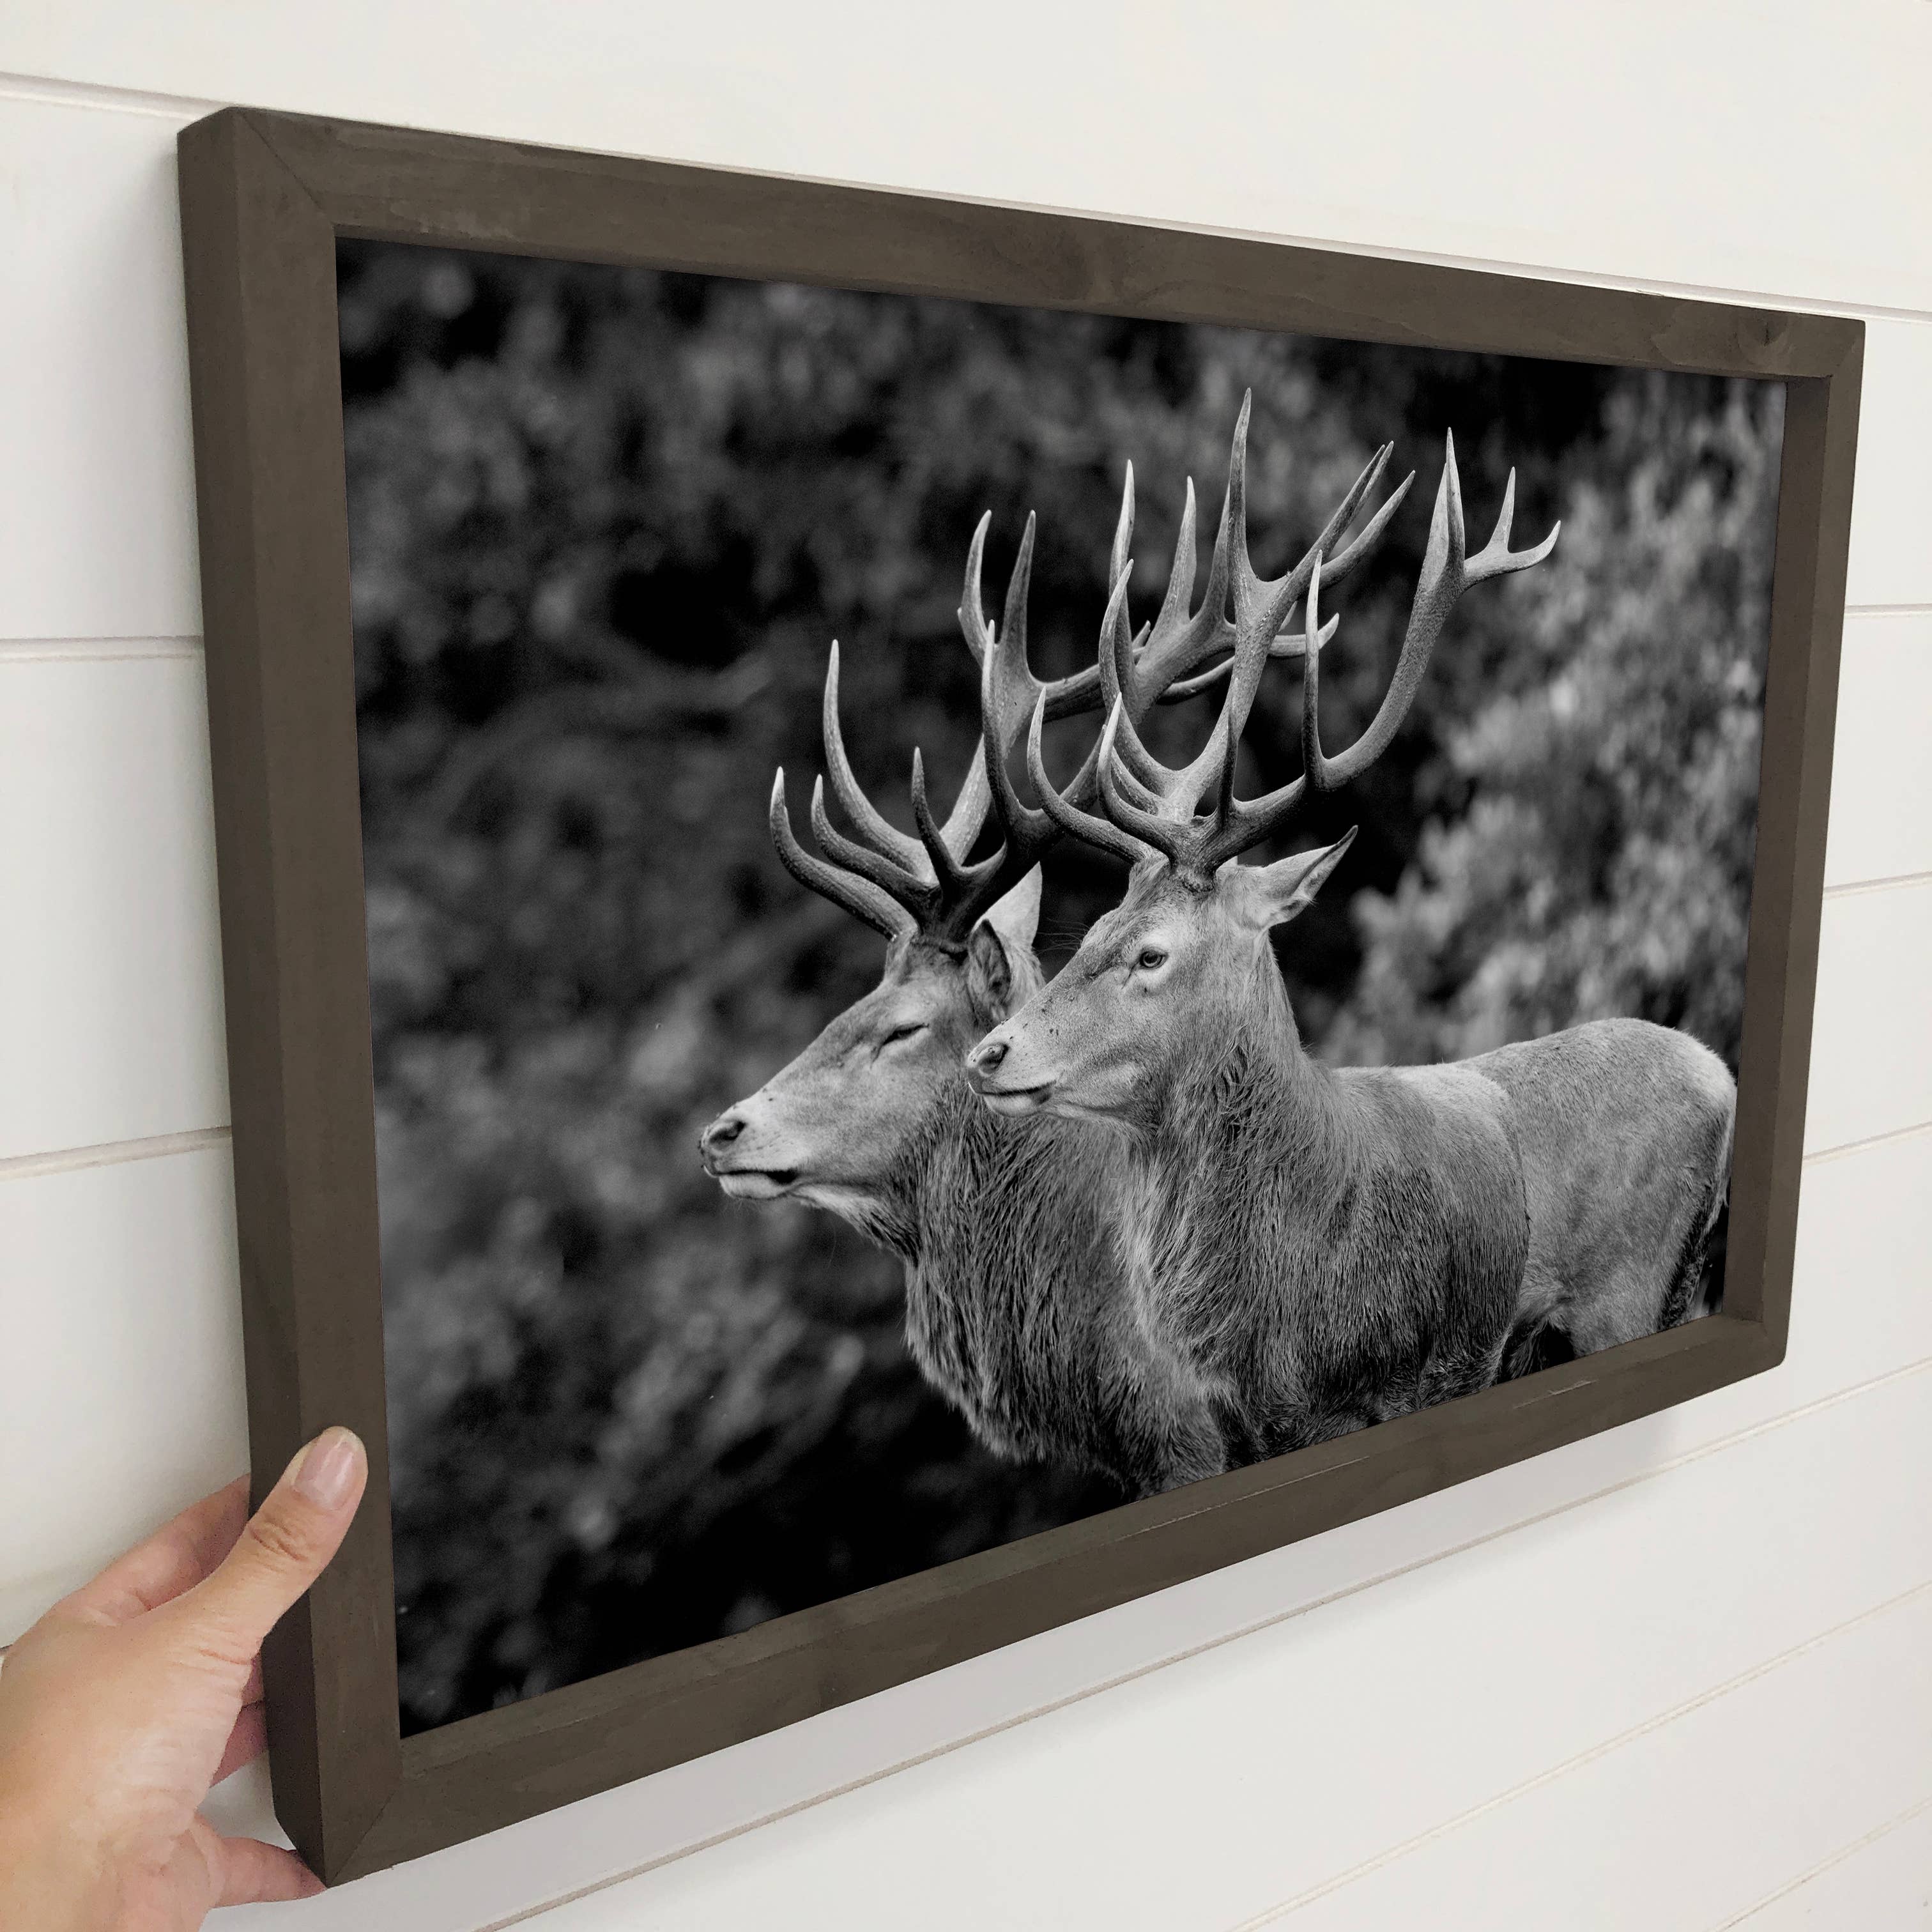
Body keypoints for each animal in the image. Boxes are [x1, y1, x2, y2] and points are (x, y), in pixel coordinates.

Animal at [965, 399, 1736, 1462]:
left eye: (1152, 954)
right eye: (1089, 934)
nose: (989, 1053)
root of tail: (1722, 1079)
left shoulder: (1407, 1380)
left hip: (1629, 1285)